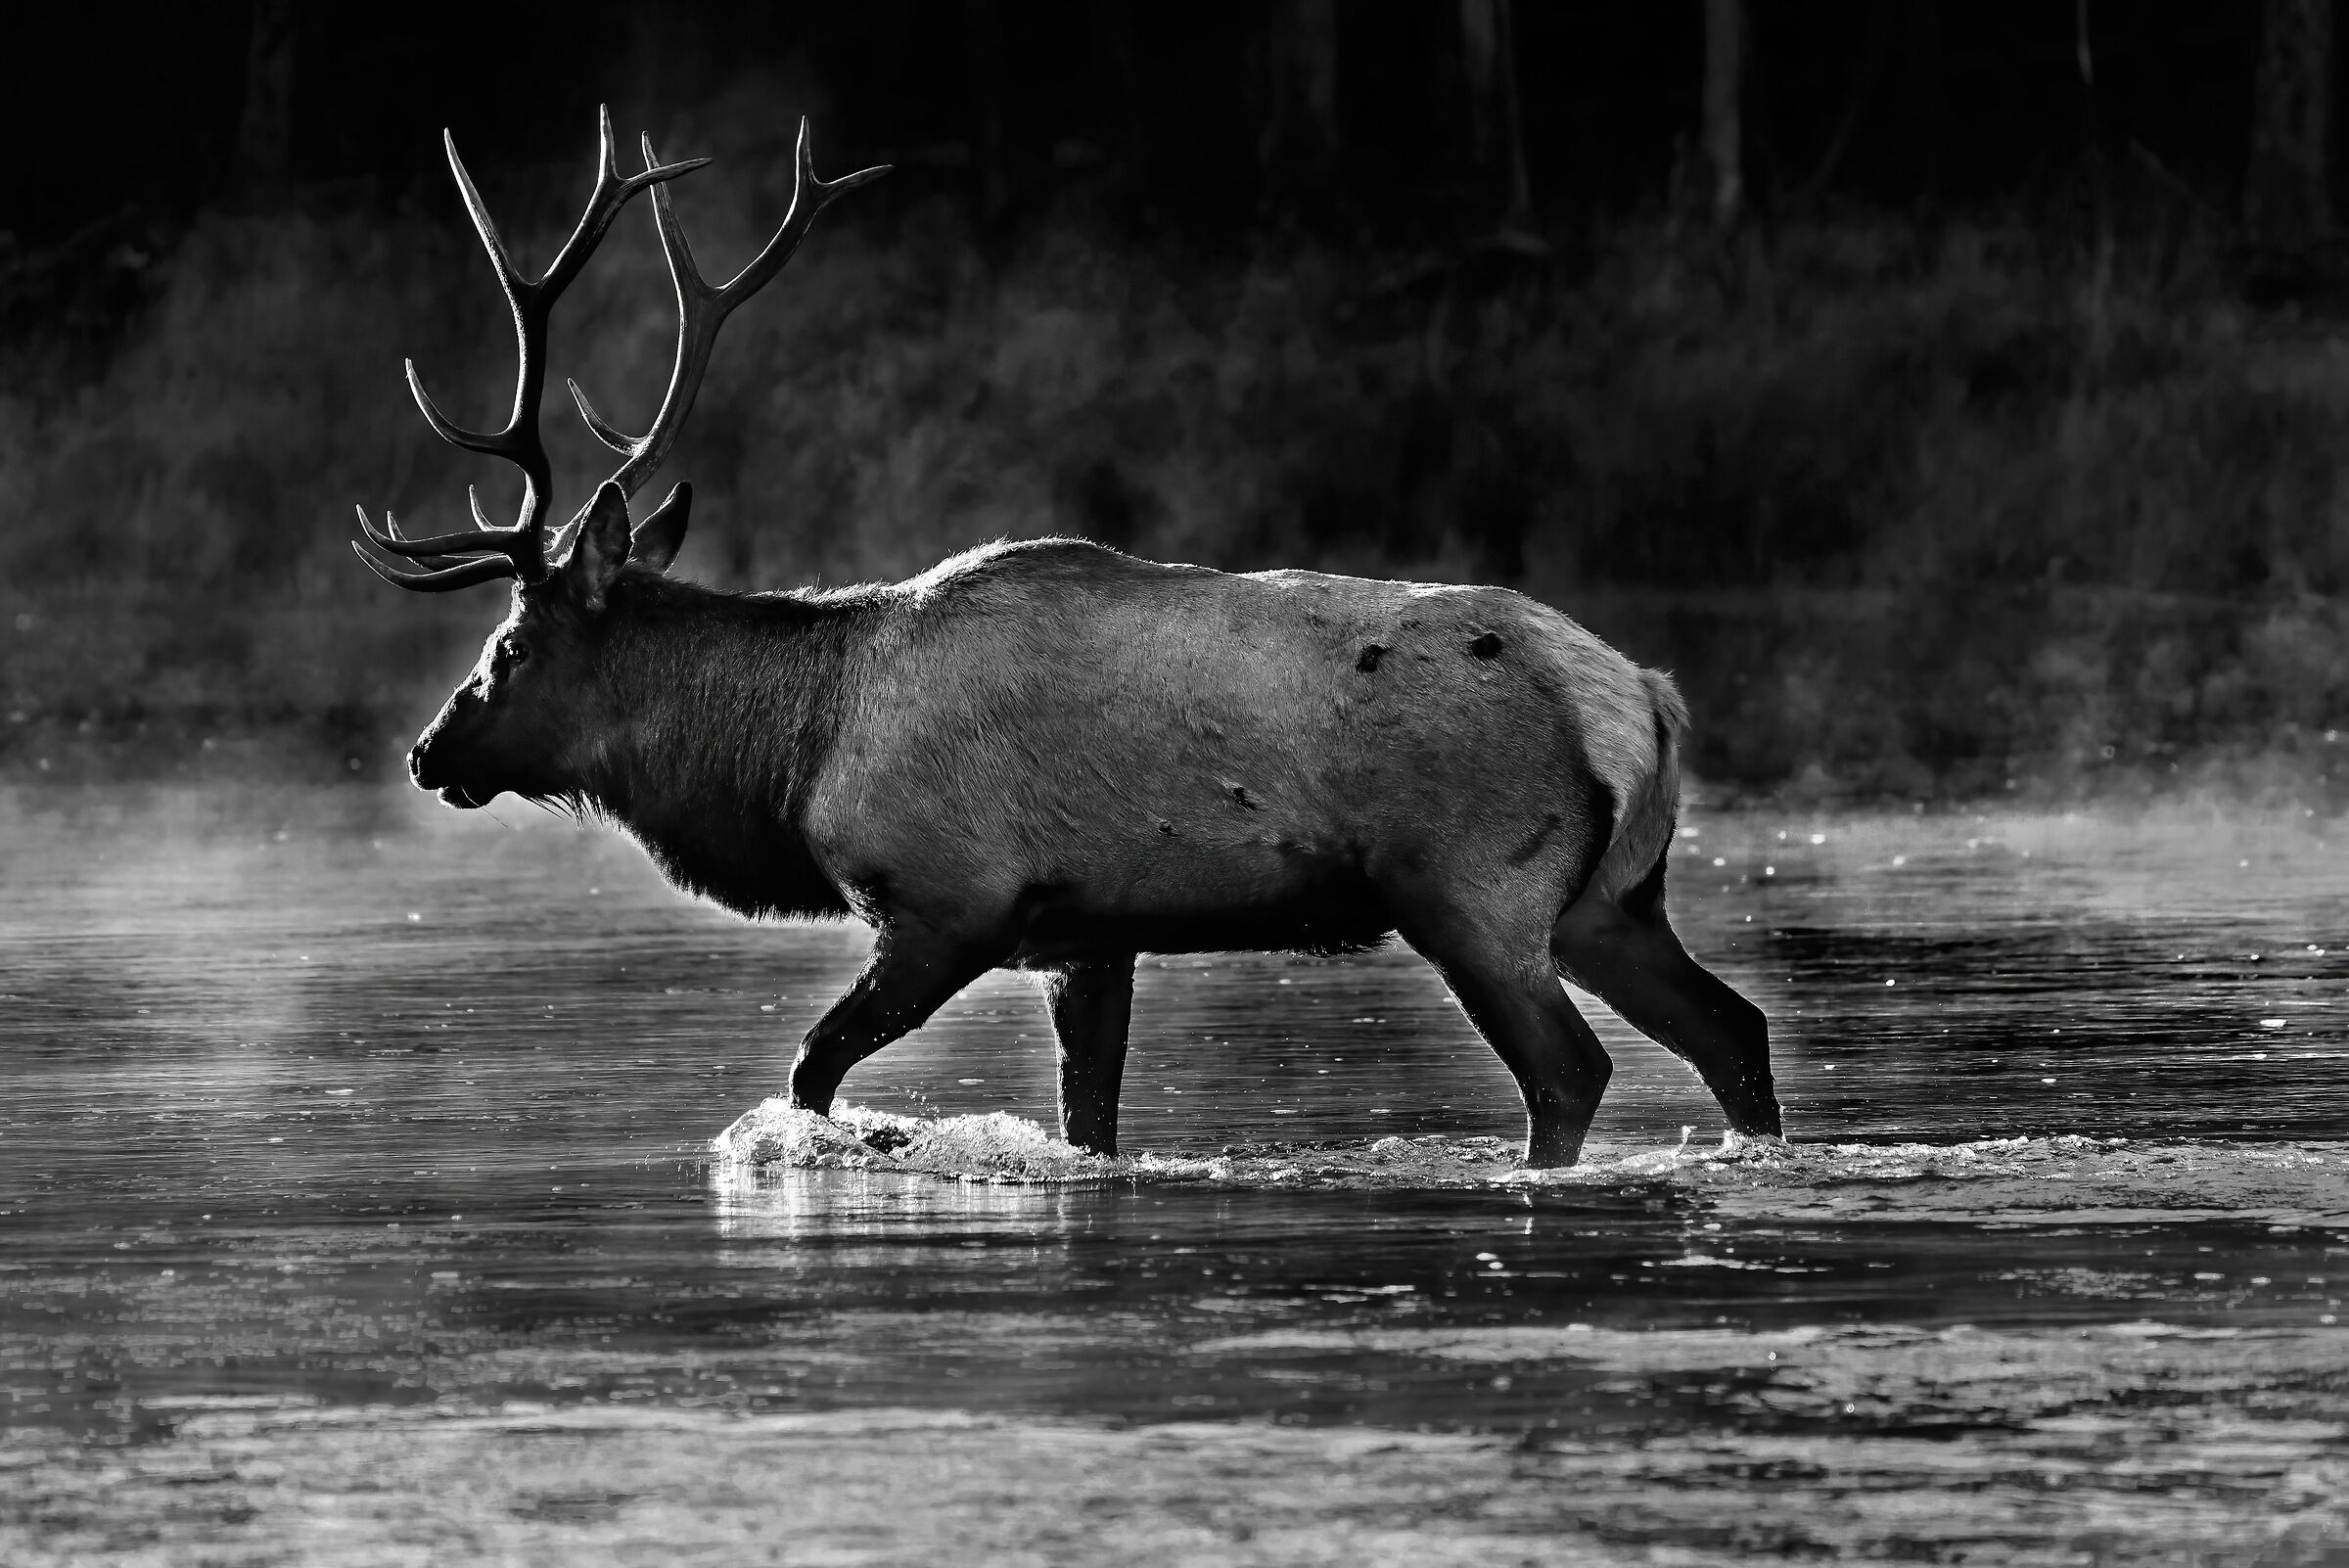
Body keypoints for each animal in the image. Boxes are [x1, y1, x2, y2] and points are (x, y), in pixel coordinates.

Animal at [352, 110, 1781, 1168]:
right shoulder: (1088, 934)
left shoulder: (948, 900)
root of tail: (1638, 697)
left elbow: (809, 1075)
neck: (801, 753)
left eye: (510, 648)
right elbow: (1088, 1122)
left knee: (1574, 1070)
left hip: (1472, 887)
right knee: (1738, 1029)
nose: (428, 752)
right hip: (1610, 900)